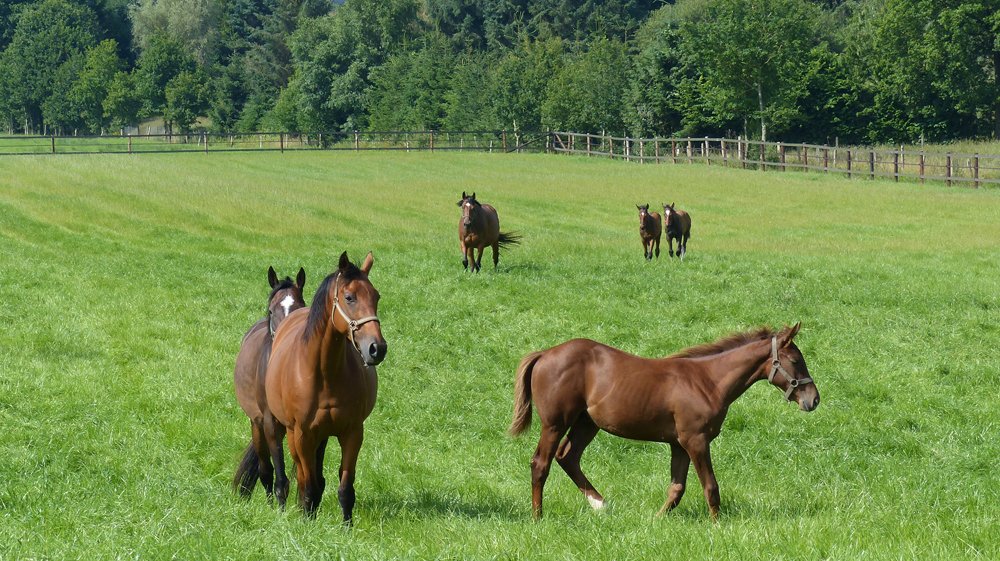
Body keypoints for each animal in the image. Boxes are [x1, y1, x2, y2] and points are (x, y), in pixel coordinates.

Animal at [233, 266, 306, 503]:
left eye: (300, 307)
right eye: (272, 311)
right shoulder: (270, 423)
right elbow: (278, 478)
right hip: (257, 424)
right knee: (265, 470)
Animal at [264, 251, 387, 522]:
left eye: (376, 296)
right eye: (349, 297)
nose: (377, 348)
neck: (324, 374)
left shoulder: (353, 433)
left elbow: (345, 489)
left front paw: (346, 526)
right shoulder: (302, 435)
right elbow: (308, 485)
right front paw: (307, 521)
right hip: (293, 435)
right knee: (302, 477)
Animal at [510, 323, 819, 520]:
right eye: (795, 361)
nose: (813, 400)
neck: (707, 381)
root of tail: (544, 354)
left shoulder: (678, 444)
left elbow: (676, 488)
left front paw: (656, 519)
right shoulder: (696, 440)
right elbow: (711, 486)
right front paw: (718, 525)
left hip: (587, 423)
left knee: (568, 457)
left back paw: (600, 504)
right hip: (555, 424)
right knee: (541, 463)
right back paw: (538, 516)